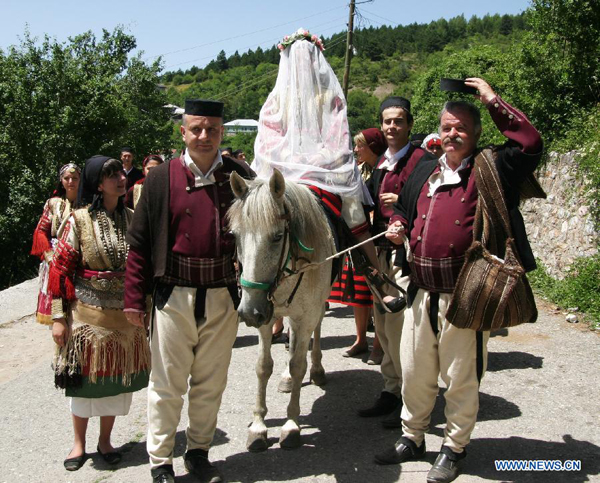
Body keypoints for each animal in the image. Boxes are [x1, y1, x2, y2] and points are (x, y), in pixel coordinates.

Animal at [227, 170, 336, 454]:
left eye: (277, 237)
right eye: (235, 236)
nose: (248, 312)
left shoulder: (305, 317)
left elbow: (299, 365)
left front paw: (291, 425)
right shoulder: (266, 318)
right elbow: (263, 366)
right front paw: (258, 427)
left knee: (315, 332)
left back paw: (317, 369)